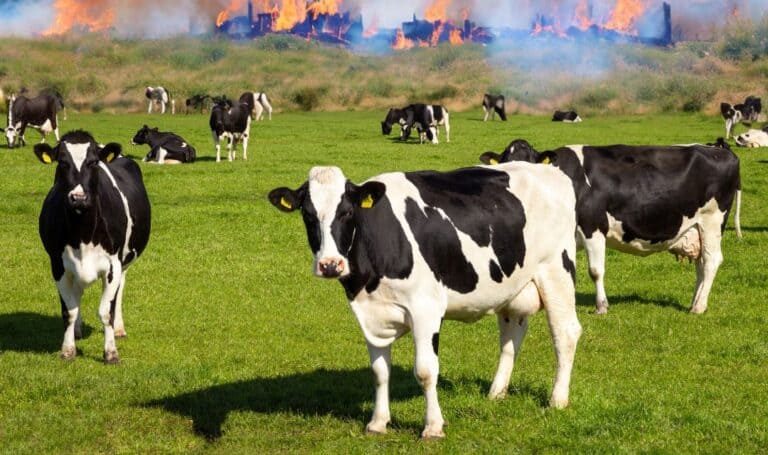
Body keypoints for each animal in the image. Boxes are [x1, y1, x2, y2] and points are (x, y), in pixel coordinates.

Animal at [34, 130, 151, 363]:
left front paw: (111, 352)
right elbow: (69, 311)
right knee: (77, 293)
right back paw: (78, 331)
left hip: (123, 262)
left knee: (120, 290)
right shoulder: (58, 265)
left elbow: (106, 312)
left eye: (93, 162)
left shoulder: (113, 266)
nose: (78, 197)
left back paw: (119, 329)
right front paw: (68, 349)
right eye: (62, 162)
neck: (83, 234)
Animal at [268, 164, 582, 438]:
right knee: (511, 335)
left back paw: (557, 399)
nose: (330, 265)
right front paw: (378, 423)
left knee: (565, 333)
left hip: (556, 270)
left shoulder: (425, 309)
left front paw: (433, 427)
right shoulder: (371, 312)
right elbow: (379, 371)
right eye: (308, 214)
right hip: (511, 287)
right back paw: (496, 393)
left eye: (346, 212)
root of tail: (549, 170)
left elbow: (426, 371)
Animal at [480, 139, 742, 315]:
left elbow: (596, 271)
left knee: (711, 260)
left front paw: (601, 306)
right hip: (696, 227)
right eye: (504, 163)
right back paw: (696, 301)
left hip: (713, 220)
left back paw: (698, 307)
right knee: (701, 264)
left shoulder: (593, 226)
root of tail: (719, 149)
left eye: (530, 164)